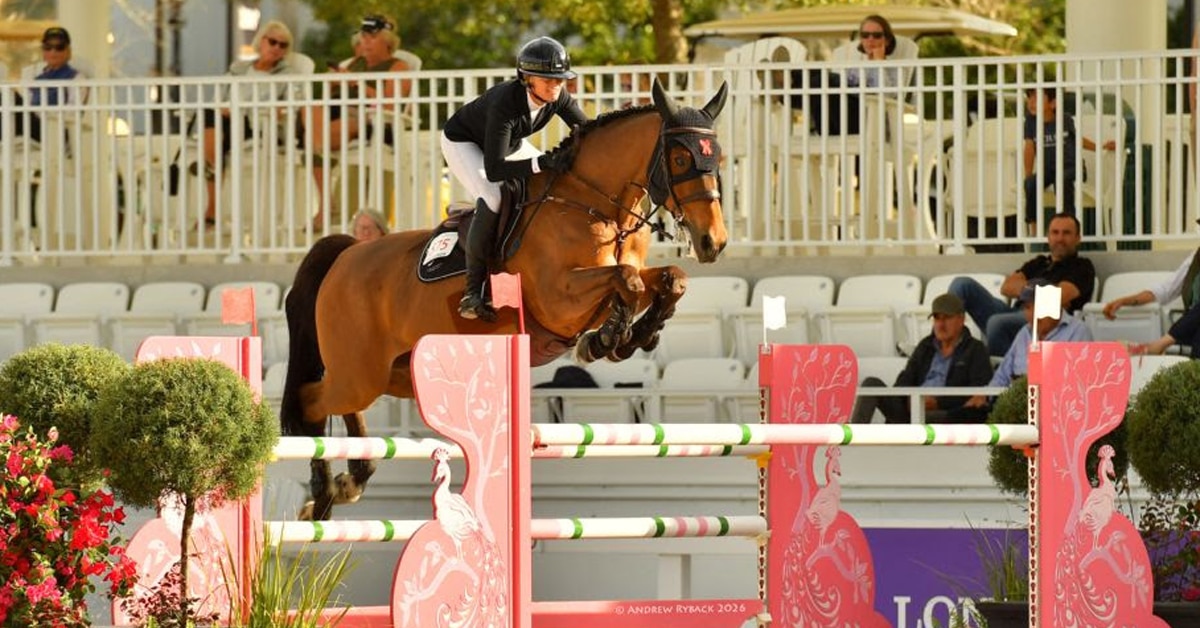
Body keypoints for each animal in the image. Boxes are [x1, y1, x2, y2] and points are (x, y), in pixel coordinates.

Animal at [282, 79, 730, 520]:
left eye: (718, 158)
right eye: (679, 158)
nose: (714, 242)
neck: (596, 206)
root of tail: (347, 254)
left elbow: (670, 279)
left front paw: (629, 337)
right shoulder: (559, 299)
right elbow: (627, 280)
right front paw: (608, 339)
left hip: (396, 373)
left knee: (336, 403)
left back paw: (351, 480)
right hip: (361, 371)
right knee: (311, 402)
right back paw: (324, 490)